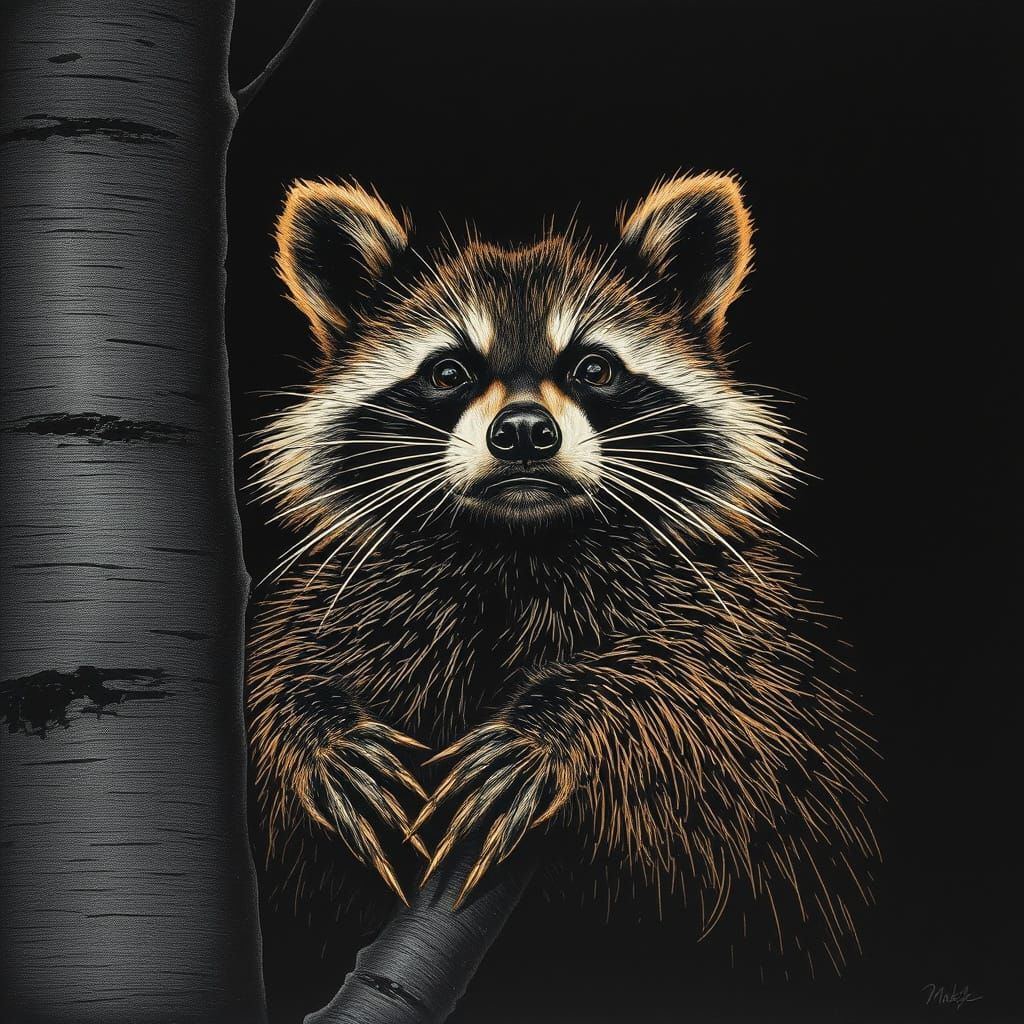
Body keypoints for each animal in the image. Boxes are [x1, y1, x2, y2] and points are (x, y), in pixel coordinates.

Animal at [247, 174, 879, 974]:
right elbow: (277, 665)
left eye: (594, 367)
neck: (516, 545)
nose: (522, 432)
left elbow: (713, 709)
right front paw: (316, 729)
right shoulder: (364, 592)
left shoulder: (737, 615)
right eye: (448, 371)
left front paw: (559, 721)